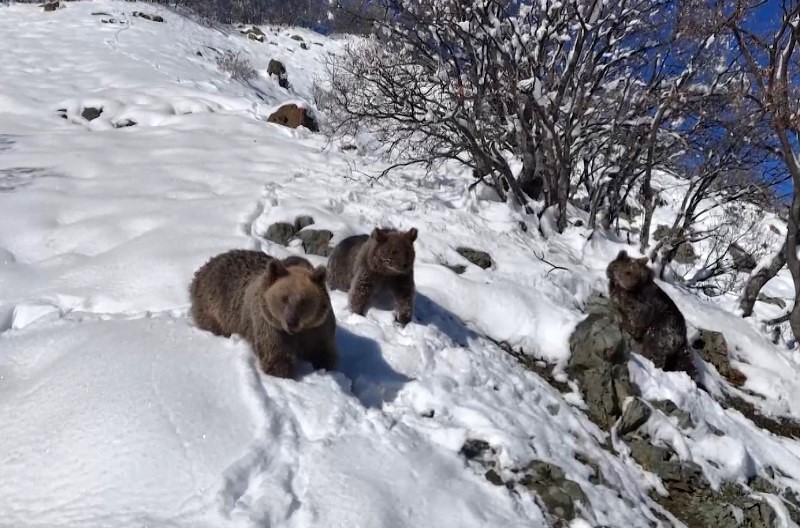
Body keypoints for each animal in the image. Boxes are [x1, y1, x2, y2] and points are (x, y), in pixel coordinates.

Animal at [189, 250, 336, 378]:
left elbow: (323, 351)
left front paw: (324, 365)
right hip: (213, 303)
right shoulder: (270, 324)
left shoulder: (318, 327)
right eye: (284, 298)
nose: (291, 322)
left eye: (304, 300)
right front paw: (281, 372)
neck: (299, 332)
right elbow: (275, 354)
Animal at [608, 252, 700, 384]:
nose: (630, 283)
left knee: (653, 350)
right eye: (627, 272)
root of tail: (683, 338)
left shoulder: (643, 307)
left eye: (633, 272)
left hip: (661, 332)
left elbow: (637, 319)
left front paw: (627, 326)